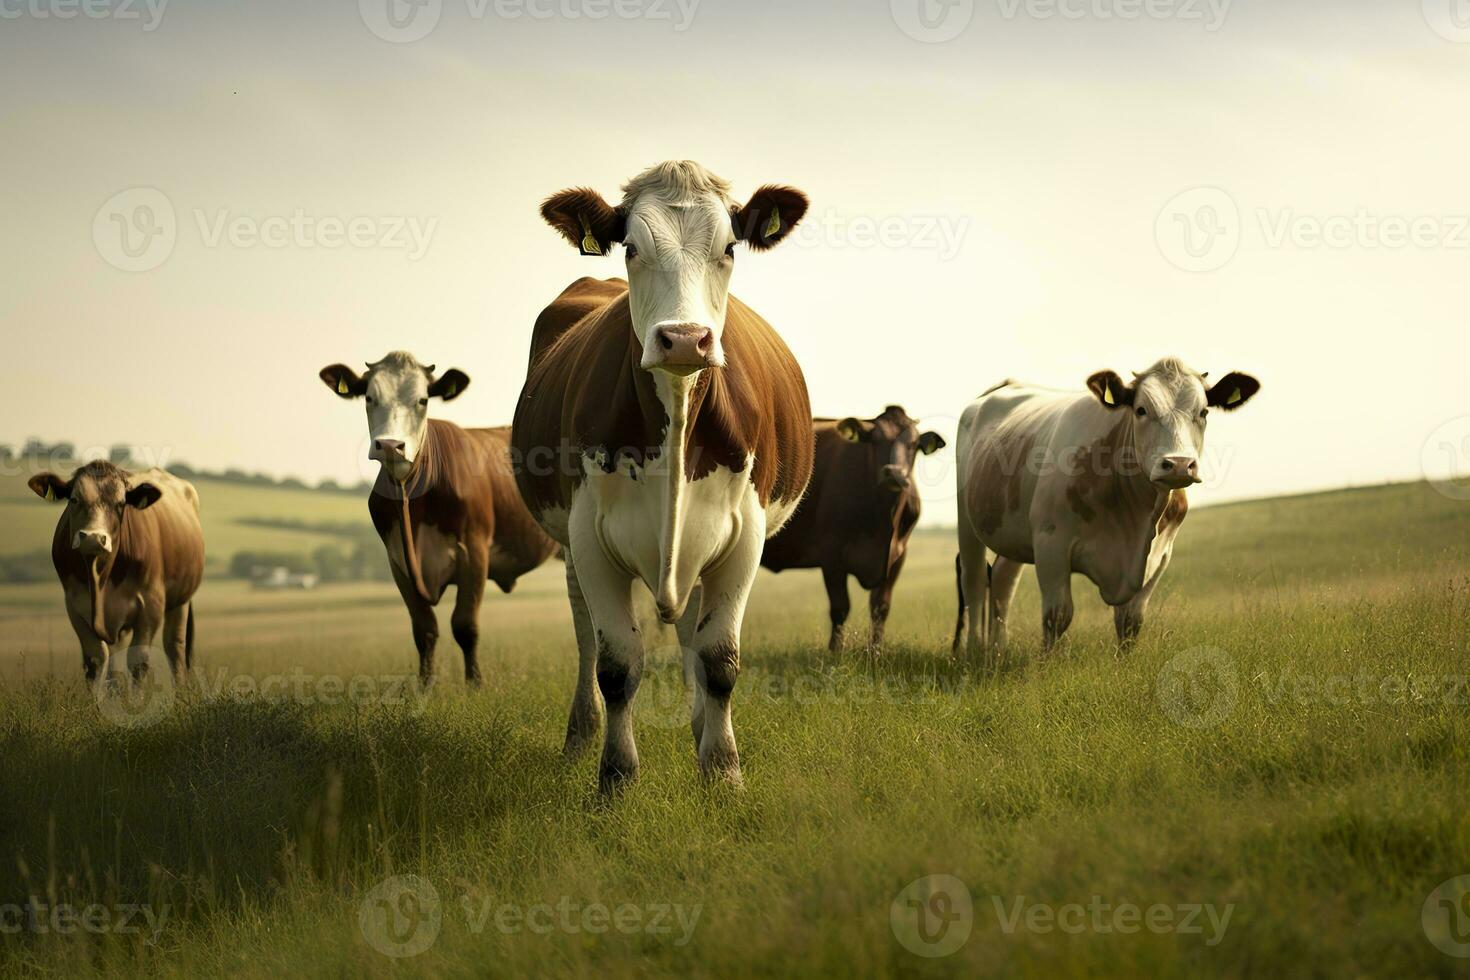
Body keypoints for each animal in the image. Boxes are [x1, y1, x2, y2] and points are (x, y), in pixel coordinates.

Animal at [28, 461, 204, 681]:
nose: (93, 538)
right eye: (74, 499)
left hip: (181, 599)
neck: (101, 575)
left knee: (175, 647)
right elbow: (95, 660)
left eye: (120, 503)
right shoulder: (75, 606)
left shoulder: (151, 605)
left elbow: (138, 660)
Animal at [318, 354, 558, 690]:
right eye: (369, 397)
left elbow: (465, 626)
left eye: (422, 400)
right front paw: (425, 688)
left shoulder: (475, 552)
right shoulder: (399, 563)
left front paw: (475, 686)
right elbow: (424, 630)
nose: (390, 445)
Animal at [514, 159, 817, 787]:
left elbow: (719, 659)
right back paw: (580, 735)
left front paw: (722, 772)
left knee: (692, 631)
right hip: (573, 549)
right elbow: (616, 665)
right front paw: (615, 778)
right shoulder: (588, 536)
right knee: (585, 633)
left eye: (730, 247)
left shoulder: (745, 535)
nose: (683, 339)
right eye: (630, 247)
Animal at [764, 405, 946, 652]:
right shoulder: (831, 554)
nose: (894, 472)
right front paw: (835, 651)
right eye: (875, 440)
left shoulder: (898, 556)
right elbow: (840, 608)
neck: (882, 525)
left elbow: (881, 607)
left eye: (913, 444)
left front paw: (876, 651)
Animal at [952, 357, 1264, 655]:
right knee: (974, 582)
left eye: (1203, 412)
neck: (1137, 520)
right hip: (967, 523)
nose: (1178, 464)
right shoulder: (1051, 543)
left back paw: (998, 650)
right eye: (1141, 410)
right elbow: (1057, 616)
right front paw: (1045, 664)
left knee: (1003, 580)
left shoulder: (1161, 555)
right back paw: (975, 651)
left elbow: (1130, 621)